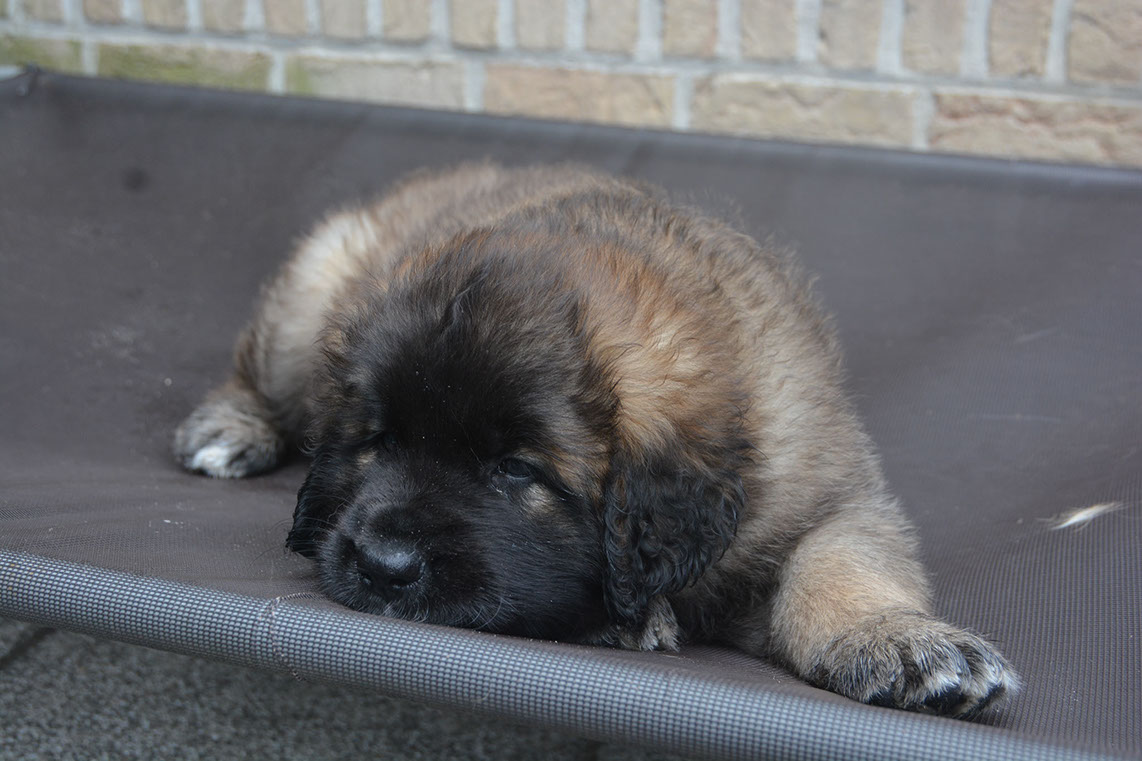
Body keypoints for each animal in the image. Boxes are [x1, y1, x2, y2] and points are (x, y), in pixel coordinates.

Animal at [174, 162, 1016, 717]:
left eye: (517, 469)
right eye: (376, 440)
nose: (383, 565)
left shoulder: (830, 492)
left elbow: (843, 561)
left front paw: (897, 637)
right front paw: (627, 618)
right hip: (313, 296)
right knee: (258, 370)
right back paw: (231, 425)